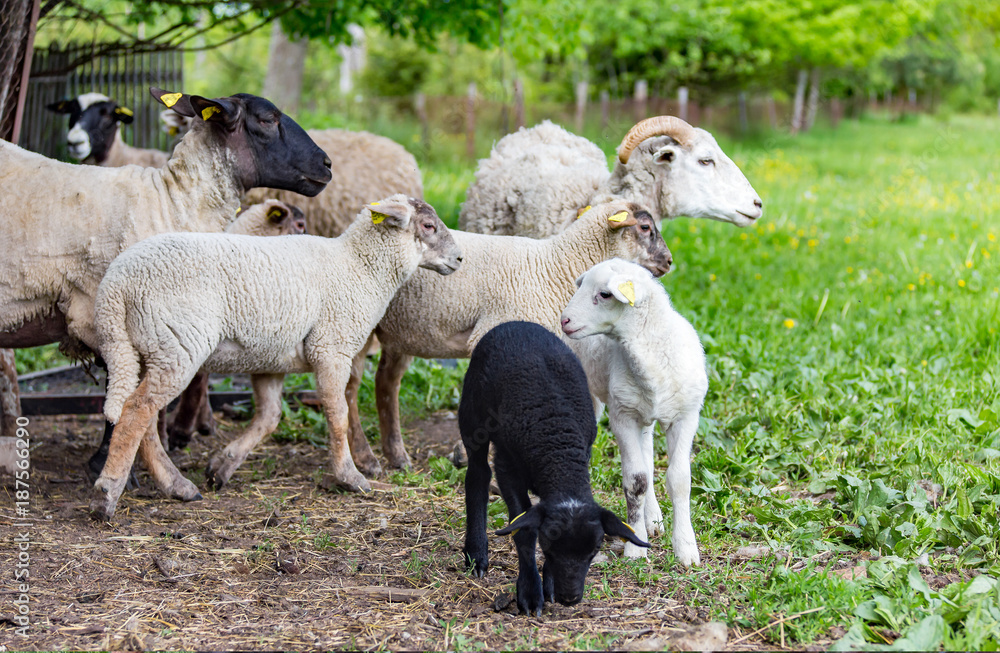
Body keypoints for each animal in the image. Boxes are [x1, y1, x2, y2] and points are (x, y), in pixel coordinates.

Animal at [88, 194, 462, 520]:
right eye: (428, 225)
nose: (459, 258)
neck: (360, 267)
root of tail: (115, 286)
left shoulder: (270, 360)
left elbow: (269, 417)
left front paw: (222, 466)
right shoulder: (331, 348)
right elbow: (338, 415)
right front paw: (350, 476)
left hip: (145, 348)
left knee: (144, 418)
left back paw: (176, 485)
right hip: (177, 344)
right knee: (137, 412)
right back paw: (107, 494)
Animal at [342, 199, 672, 474]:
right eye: (645, 228)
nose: (669, 262)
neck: (554, 268)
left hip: (402, 330)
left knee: (386, 382)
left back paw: (397, 456)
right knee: (350, 389)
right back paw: (365, 460)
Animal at [460, 320, 648, 616]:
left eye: (594, 549)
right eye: (547, 545)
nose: (569, 598)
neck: (557, 450)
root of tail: (516, 323)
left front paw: (547, 585)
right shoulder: (507, 468)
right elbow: (523, 530)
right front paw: (529, 593)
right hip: (472, 414)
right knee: (477, 475)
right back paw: (477, 553)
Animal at [560, 258, 708, 564]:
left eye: (605, 294)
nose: (564, 320)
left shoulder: (686, 415)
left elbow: (679, 479)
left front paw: (686, 548)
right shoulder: (622, 416)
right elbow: (635, 481)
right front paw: (635, 547)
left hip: (645, 413)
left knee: (648, 455)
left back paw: (654, 519)